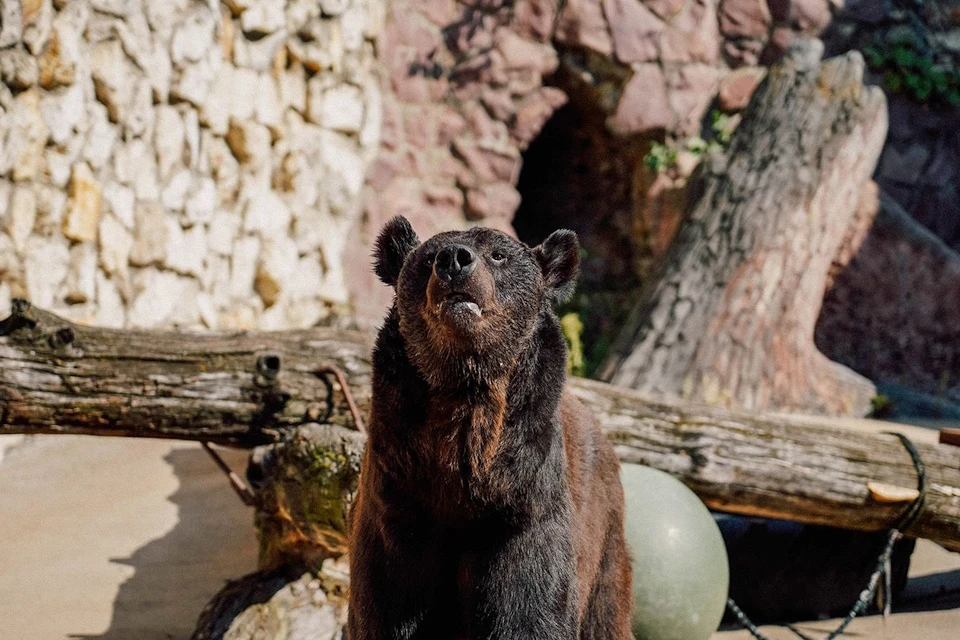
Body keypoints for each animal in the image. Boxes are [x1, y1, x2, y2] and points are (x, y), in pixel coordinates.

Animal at [348, 218, 632, 636]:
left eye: (499, 254)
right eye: (428, 257)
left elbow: (531, 610)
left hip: (604, 535)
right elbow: (387, 608)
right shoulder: (400, 506)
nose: (454, 260)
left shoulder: (523, 513)